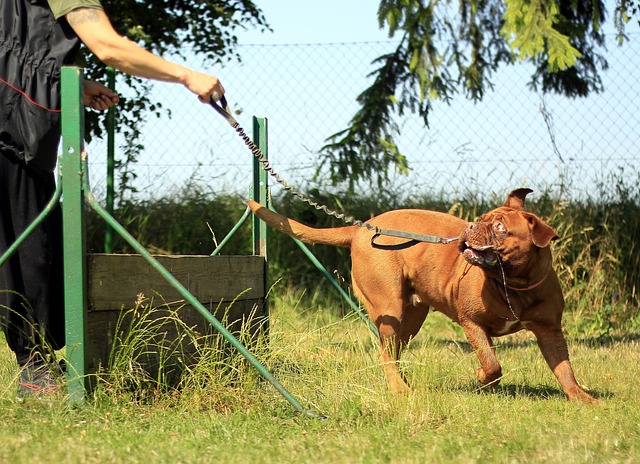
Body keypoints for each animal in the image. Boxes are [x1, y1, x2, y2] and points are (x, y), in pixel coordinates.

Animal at [248, 188, 596, 402]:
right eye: (482, 220)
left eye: (499, 227)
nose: (471, 226)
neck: (513, 283)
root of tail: (362, 228)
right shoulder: (472, 322)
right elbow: (491, 362)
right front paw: (483, 378)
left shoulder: (550, 331)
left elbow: (564, 367)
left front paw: (581, 397)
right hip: (389, 307)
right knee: (384, 353)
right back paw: (399, 389)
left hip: (411, 318)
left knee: (393, 352)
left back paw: (403, 383)